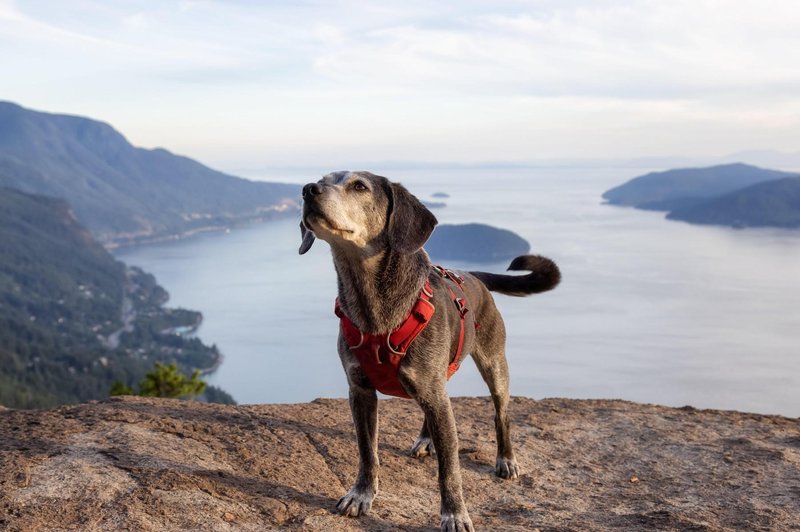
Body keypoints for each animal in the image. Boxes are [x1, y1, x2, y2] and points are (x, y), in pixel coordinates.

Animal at [300, 171, 564, 532]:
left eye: (359, 186)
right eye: (322, 179)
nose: (307, 190)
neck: (374, 307)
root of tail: (473, 275)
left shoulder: (435, 397)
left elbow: (449, 470)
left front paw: (454, 514)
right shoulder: (361, 391)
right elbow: (367, 452)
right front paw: (361, 494)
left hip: (494, 364)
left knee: (501, 414)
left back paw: (505, 458)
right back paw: (426, 438)